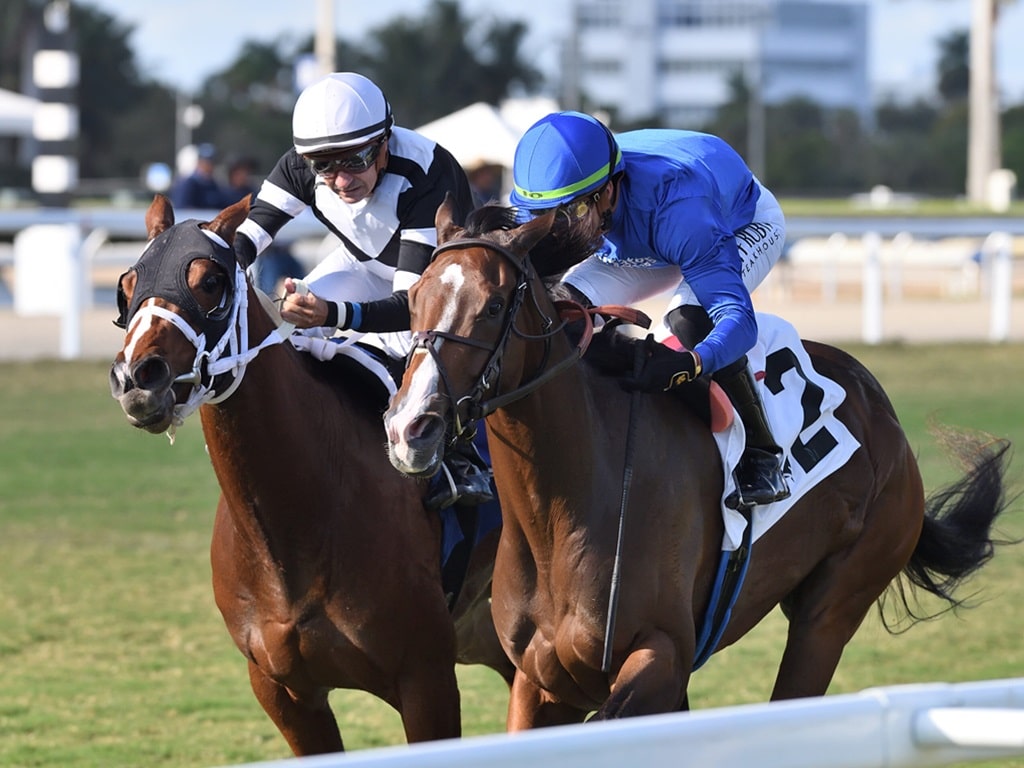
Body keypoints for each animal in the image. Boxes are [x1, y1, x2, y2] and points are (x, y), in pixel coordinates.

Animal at [385, 196, 1015, 729]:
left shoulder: (660, 656)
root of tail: (880, 407)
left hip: (834, 606)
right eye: (413, 300)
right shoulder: (541, 681)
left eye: (493, 306)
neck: (565, 512)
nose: (411, 426)